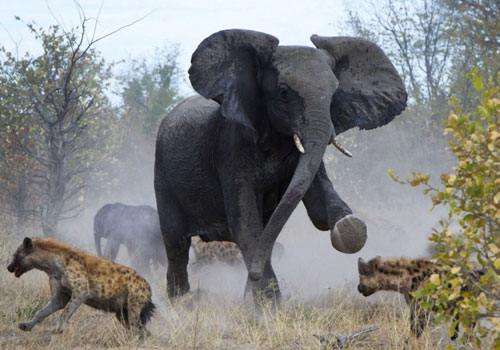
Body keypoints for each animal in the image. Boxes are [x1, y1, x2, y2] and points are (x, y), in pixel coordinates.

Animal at [154, 29, 408, 300]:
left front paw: (350, 227)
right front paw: (267, 303)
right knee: (176, 243)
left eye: (334, 94)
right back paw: (181, 302)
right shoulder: (231, 148)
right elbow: (245, 224)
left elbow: (318, 209)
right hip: (162, 175)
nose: (253, 275)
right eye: (284, 92)